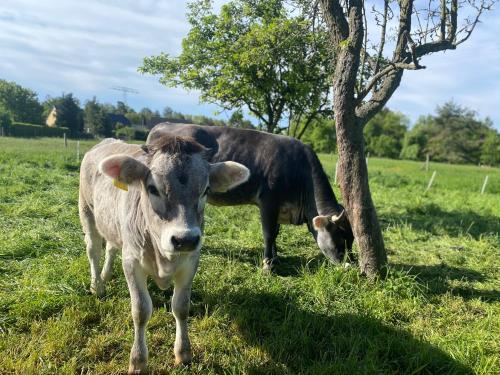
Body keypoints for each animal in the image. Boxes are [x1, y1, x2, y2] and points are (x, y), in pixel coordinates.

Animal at [146, 125, 354, 272]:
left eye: (352, 239)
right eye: (340, 240)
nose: (351, 266)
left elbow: (276, 232)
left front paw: (275, 258)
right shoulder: (268, 202)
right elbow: (269, 233)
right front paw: (268, 265)